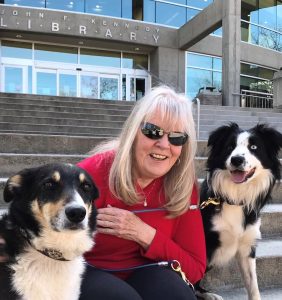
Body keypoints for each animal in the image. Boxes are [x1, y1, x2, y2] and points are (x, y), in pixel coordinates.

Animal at [196, 122, 282, 300]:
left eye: (254, 147)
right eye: (230, 147)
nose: (237, 159)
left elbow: (253, 284)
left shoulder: (247, 246)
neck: (235, 198)